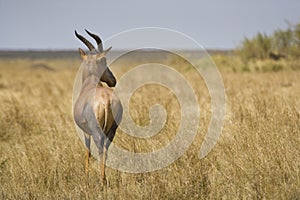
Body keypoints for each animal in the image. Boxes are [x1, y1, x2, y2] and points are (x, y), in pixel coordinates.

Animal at [74, 29, 123, 183]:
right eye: (104, 60)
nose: (113, 80)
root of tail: (106, 100)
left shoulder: (86, 131)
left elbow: (87, 152)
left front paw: (86, 175)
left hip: (96, 131)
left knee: (100, 149)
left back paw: (101, 181)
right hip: (112, 130)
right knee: (106, 150)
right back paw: (104, 178)